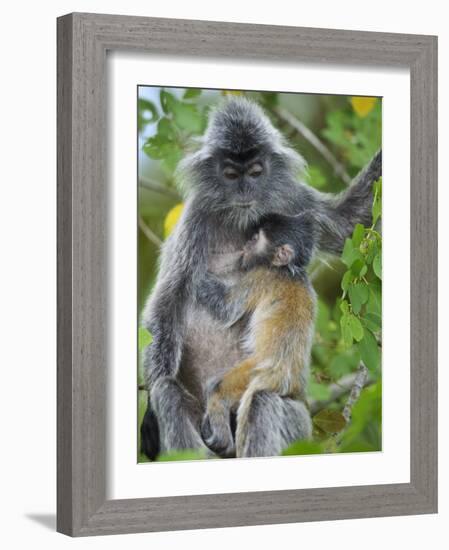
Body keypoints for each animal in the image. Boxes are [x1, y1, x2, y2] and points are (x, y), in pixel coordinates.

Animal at [196, 211, 316, 458]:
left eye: (254, 239)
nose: (245, 246)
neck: (289, 272)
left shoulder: (262, 275)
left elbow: (226, 308)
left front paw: (198, 275)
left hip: (258, 373)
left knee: (251, 400)